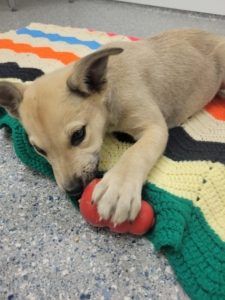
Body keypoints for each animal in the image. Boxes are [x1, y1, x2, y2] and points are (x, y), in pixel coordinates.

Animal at [0, 29, 225, 224]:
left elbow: (136, 153)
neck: (109, 90)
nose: (73, 190)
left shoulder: (154, 127)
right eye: (39, 150)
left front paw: (118, 188)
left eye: (79, 135)